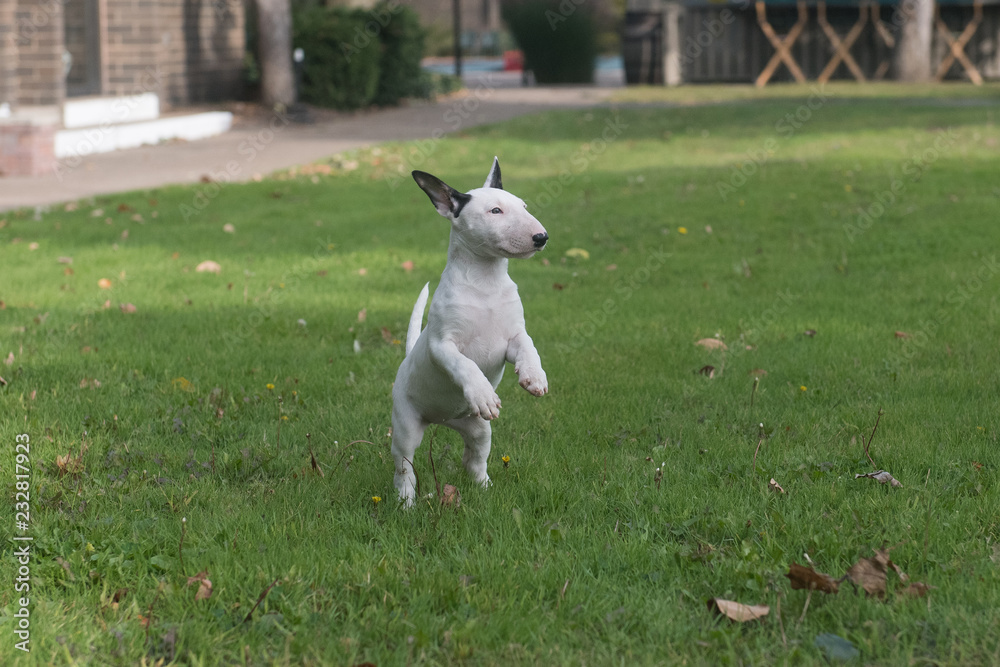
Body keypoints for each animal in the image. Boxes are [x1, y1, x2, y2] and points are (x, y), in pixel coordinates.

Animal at [390, 159, 548, 508]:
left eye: (524, 207)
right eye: (495, 211)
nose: (542, 237)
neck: (485, 282)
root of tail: (440, 419)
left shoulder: (512, 337)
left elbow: (529, 347)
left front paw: (534, 377)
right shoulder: (442, 345)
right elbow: (464, 364)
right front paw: (483, 393)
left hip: (478, 427)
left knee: (473, 457)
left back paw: (484, 486)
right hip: (405, 425)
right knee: (404, 466)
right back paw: (406, 502)